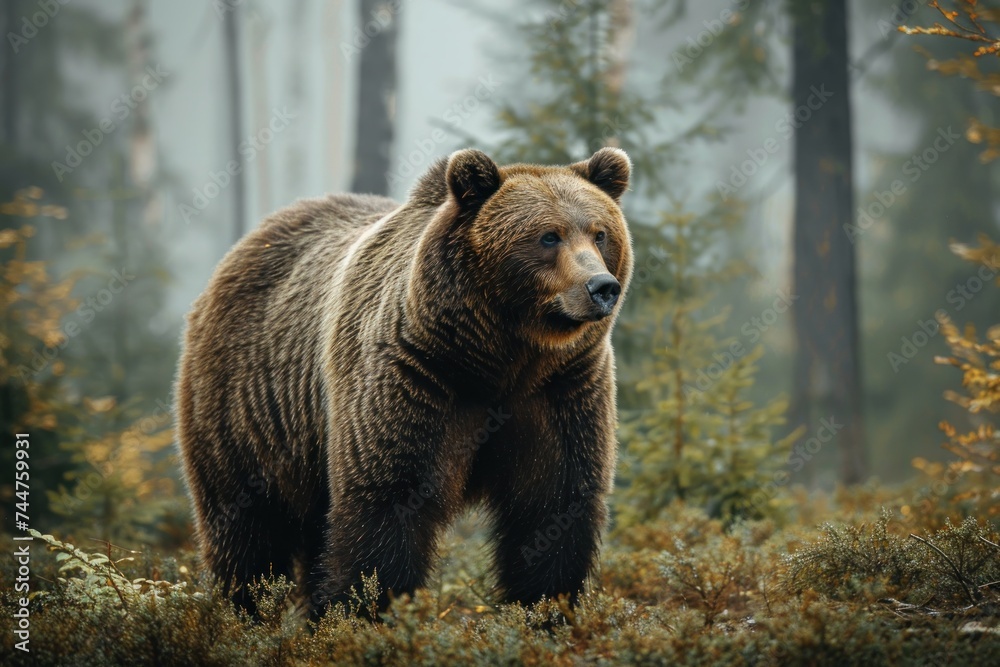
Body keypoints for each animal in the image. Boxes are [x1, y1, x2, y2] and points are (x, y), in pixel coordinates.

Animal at [175, 146, 632, 616]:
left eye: (600, 233)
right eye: (548, 236)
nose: (601, 287)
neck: (500, 357)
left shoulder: (561, 387)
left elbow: (555, 503)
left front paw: (545, 609)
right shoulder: (416, 376)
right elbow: (387, 500)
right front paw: (364, 609)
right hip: (247, 406)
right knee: (247, 525)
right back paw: (243, 606)